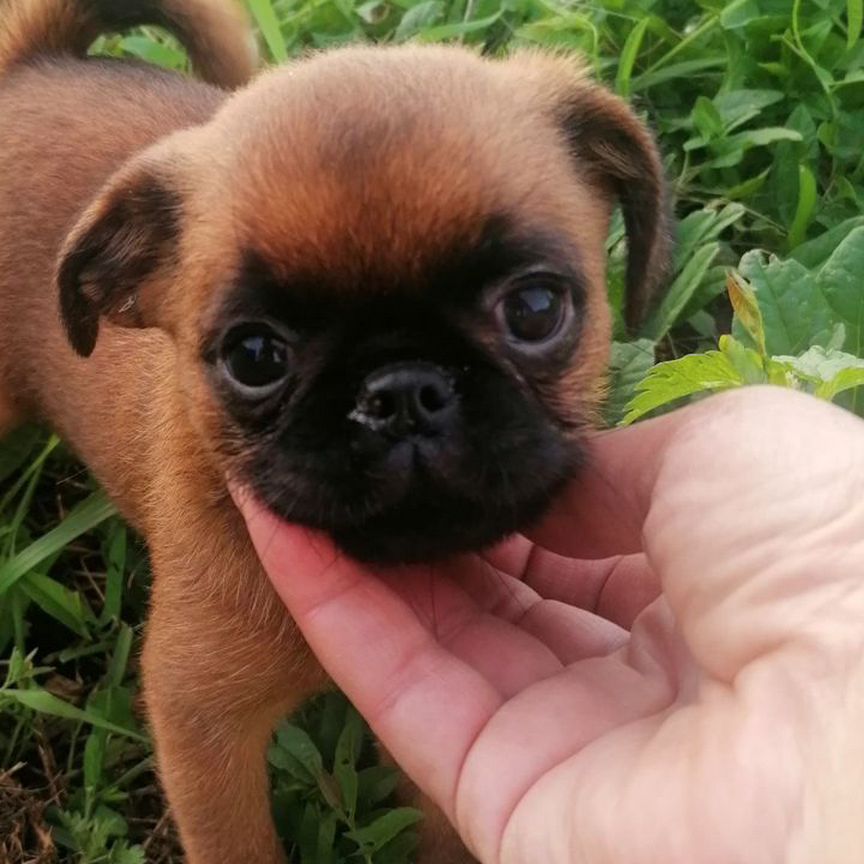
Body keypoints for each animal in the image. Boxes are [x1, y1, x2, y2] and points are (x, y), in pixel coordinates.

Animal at [0, 3, 668, 860]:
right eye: (254, 356)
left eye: (534, 309)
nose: (402, 390)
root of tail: (33, 65)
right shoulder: (202, 731)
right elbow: (239, 847)